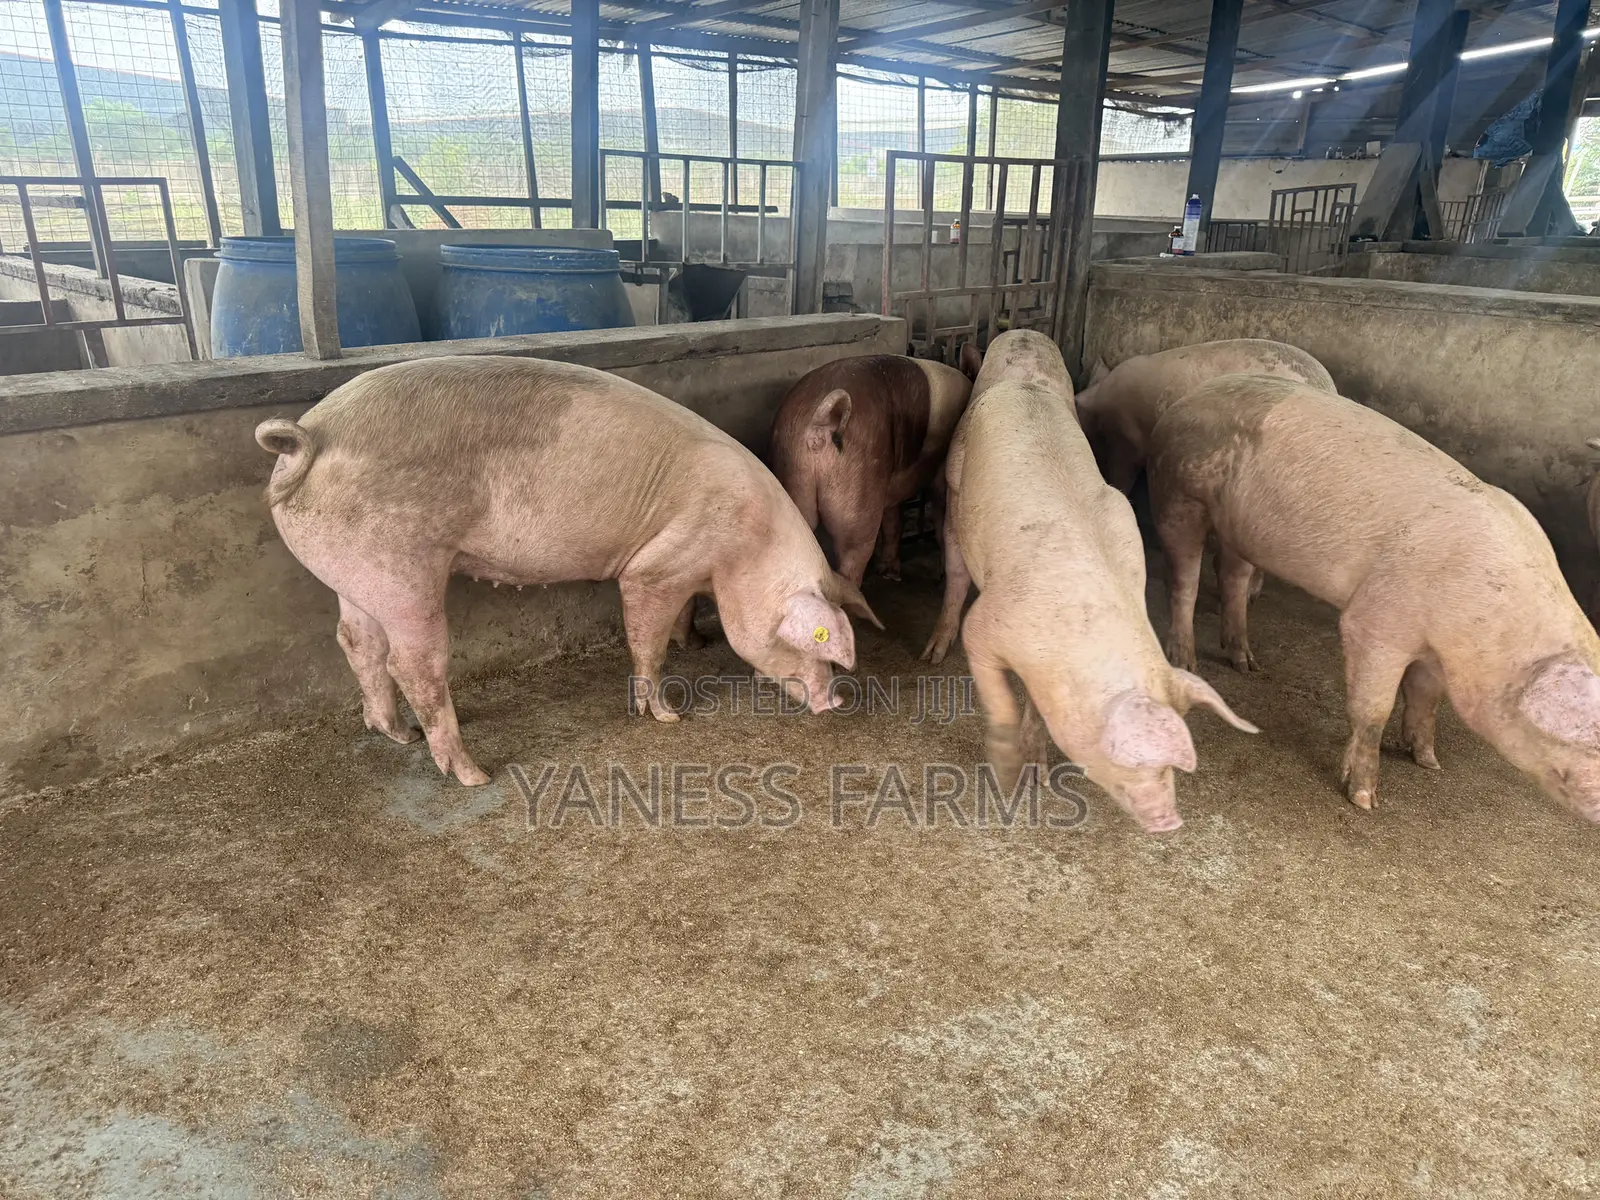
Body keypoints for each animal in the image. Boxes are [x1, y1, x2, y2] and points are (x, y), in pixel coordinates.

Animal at [256, 355, 880, 786]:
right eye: (818, 639)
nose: (835, 702)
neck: (744, 550)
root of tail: (307, 439)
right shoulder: (656, 567)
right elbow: (646, 638)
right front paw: (665, 717)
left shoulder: (689, 573)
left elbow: (682, 615)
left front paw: (694, 641)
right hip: (402, 568)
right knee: (413, 663)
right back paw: (472, 774)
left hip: (354, 570)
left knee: (356, 641)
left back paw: (395, 733)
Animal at [769, 346, 981, 585]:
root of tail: (820, 422)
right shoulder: (939, 475)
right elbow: (938, 516)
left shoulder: (891, 489)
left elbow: (893, 522)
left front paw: (889, 573)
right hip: (858, 490)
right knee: (853, 557)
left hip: (793, 475)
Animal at [919, 330, 1258, 833]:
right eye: (1128, 753)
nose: (1169, 821)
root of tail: (1022, 376)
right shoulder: (987, 623)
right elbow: (997, 691)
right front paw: (1008, 774)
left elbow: (1037, 706)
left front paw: (1038, 776)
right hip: (956, 484)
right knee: (956, 572)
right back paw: (933, 653)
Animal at [1149, 373, 1600, 821]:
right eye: (1593, 741)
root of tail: (1196, 394)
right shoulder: (1377, 622)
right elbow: (1372, 708)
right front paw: (1365, 800)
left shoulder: (1436, 649)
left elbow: (1425, 698)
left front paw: (1428, 761)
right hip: (1181, 492)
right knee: (1184, 579)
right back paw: (1186, 661)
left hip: (1240, 526)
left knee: (1234, 576)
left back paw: (1247, 664)